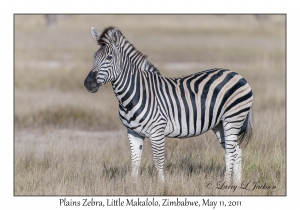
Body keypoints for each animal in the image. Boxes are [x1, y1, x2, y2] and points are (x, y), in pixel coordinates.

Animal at [84, 26, 253, 185]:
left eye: (109, 57)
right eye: (94, 57)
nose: (88, 83)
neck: (134, 93)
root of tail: (237, 74)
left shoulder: (157, 132)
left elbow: (159, 162)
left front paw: (161, 187)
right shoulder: (133, 132)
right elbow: (135, 162)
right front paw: (133, 186)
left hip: (232, 119)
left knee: (230, 153)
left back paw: (226, 184)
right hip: (219, 124)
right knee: (236, 151)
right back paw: (236, 185)